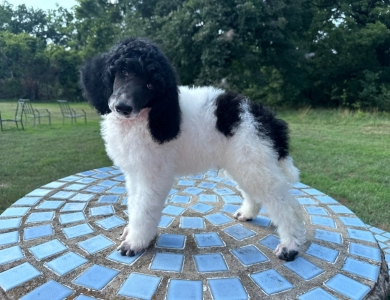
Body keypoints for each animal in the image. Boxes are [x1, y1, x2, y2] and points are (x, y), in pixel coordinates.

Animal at [79, 37, 304, 262]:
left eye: (150, 85)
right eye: (123, 71)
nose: (123, 107)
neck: (149, 114)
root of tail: (266, 118)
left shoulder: (152, 175)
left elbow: (143, 209)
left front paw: (135, 242)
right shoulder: (136, 172)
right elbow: (134, 204)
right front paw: (130, 232)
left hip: (254, 162)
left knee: (287, 206)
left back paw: (290, 246)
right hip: (245, 163)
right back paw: (248, 213)